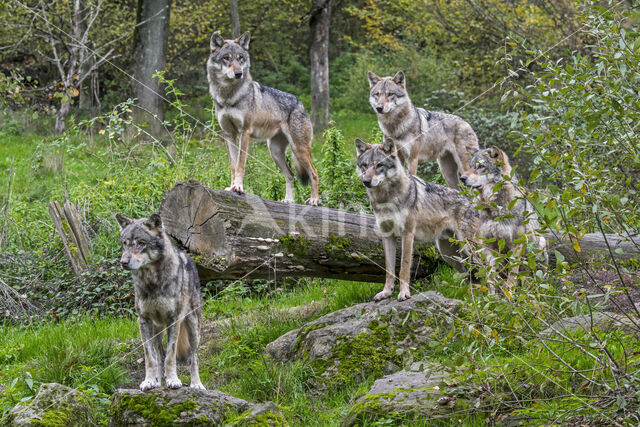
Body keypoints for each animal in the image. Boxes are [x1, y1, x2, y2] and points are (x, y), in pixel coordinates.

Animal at [115, 214, 205, 392]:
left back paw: (196, 384)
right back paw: (156, 381)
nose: (123, 262)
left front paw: (173, 380)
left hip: (193, 327)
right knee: (158, 354)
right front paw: (149, 381)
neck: (152, 283)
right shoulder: (143, 321)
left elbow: (170, 356)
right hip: (156, 329)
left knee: (193, 357)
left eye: (141, 243)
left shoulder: (174, 320)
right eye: (125, 243)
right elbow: (150, 357)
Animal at [208, 30, 320, 206]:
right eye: (226, 58)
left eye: (240, 58)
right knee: (290, 175)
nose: (238, 73)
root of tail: (300, 103)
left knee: (314, 173)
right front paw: (231, 187)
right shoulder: (228, 134)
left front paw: (238, 187)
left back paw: (314, 200)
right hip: (275, 151)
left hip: (298, 150)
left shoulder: (244, 132)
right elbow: (233, 165)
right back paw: (288, 201)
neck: (228, 96)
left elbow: (240, 164)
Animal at [356, 139, 480, 302]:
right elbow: (389, 270)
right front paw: (386, 293)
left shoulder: (407, 234)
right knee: (471, 275)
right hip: (449, 254)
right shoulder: (387, 236)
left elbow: (403, 268)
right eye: (364, 165)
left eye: (379, 165)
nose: (366, 181)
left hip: (470, 249)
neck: (386, 199)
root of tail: (474, 202)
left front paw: (404, 293)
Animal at [462, 147, 548, 290]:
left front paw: (510, 292)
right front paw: (493, 295)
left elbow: (512, 274)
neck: (494, 208)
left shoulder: (517, 243)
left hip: (540, 244)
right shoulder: (487, 244)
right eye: (470, 166)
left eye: (481, 166)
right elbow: (491, 277)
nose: (462, 178)